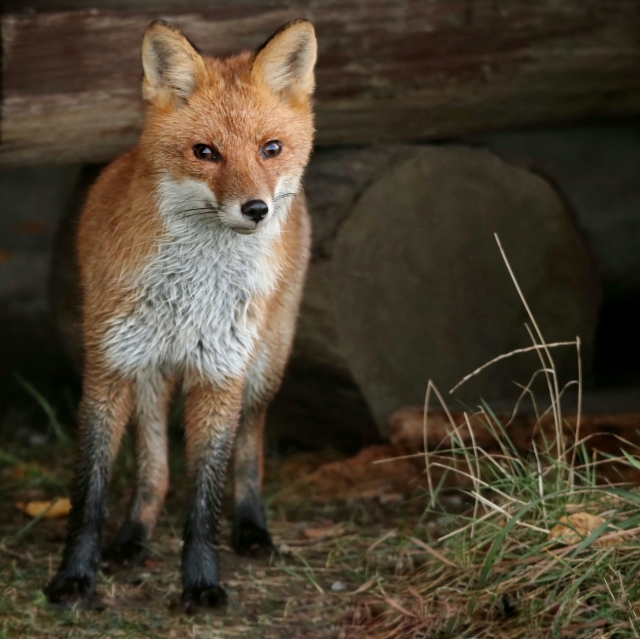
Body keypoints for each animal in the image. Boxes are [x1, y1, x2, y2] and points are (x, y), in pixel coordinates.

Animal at [44, 18, 316, 608]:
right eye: (204, 152)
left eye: (271, 148)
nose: (256, 209)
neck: (189, 295)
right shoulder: (108, 368)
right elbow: (90, 492)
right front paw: (75, 576)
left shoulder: (220, 375)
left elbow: (204, 500)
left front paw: (201, 582)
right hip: (150, 373)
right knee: (155, 468)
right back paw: (132, 537)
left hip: (264, 364)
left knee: (250, 447)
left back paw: (252, 528)